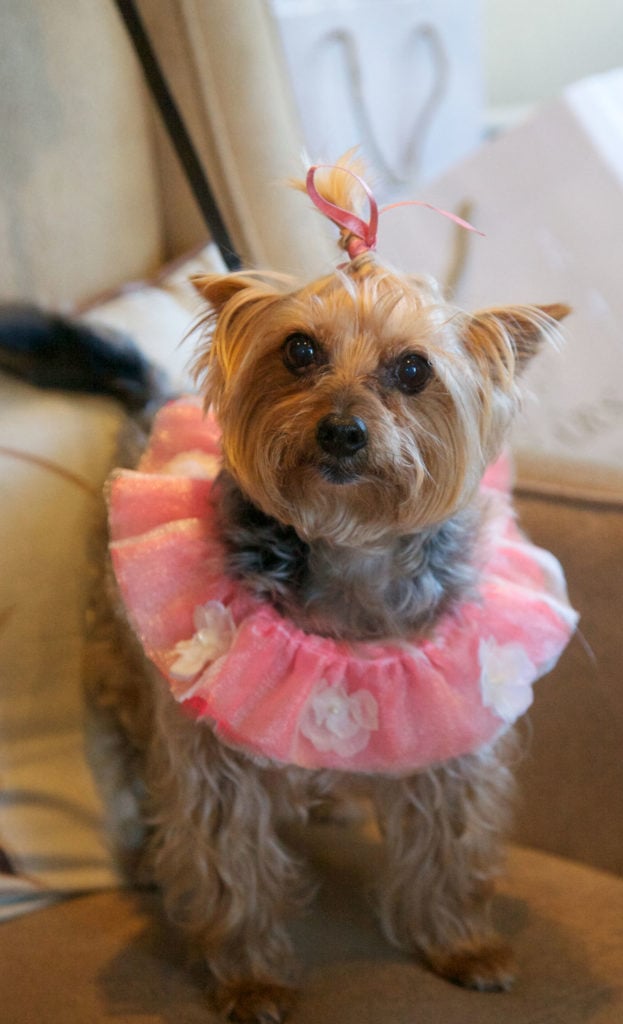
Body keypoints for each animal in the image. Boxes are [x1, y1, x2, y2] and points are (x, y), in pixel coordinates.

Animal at [86, 155, 573, 1019]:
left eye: (412, 370)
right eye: (300, 351)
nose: (342, 430)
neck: (350, 547)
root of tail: (152, 394)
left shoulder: (448, 728)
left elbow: (448, 843)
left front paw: (461, 945)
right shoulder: (216, 751)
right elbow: (230, 865)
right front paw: (249, 978)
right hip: (129, 656)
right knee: (134, 741)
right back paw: (144, 850)